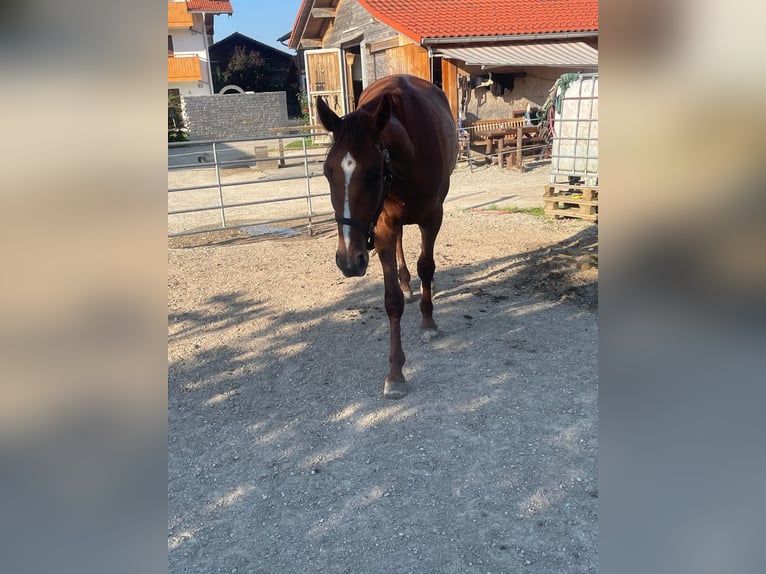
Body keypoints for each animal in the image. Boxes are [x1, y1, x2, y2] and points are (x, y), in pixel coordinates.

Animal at [316, 74, 456, 398]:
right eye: (328, 173)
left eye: (373, 173)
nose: (348, 261)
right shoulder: (382, 228)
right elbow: (392, 300)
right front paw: (395, 373)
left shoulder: (433, 218)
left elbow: (426, 267)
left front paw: (428, 321)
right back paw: (406, 282)